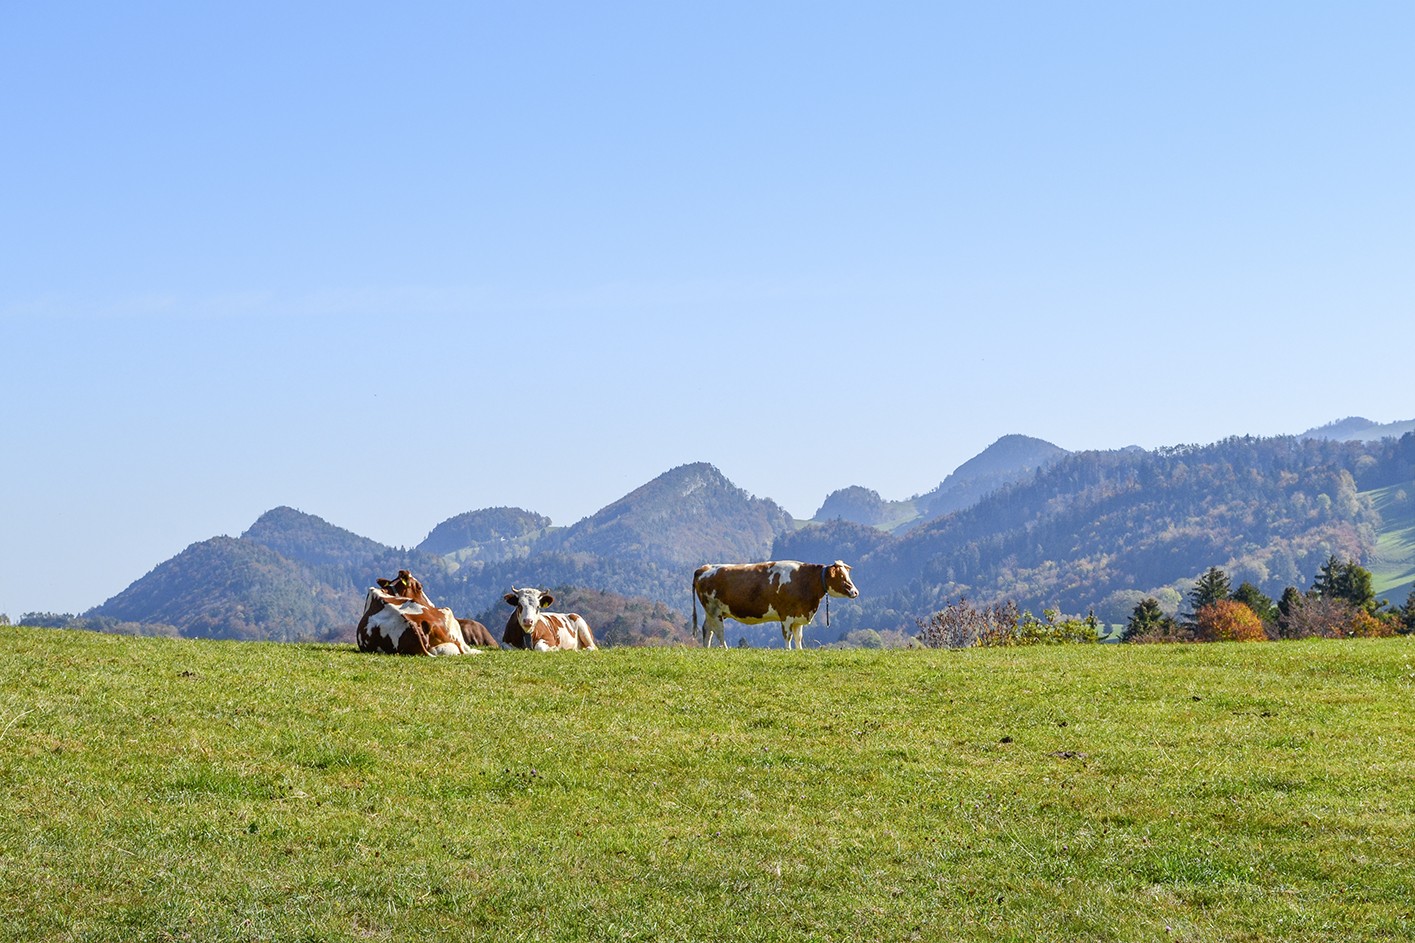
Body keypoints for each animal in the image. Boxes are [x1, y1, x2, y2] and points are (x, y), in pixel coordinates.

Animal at [690, 557, 854, 645]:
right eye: (841, 576)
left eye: (847, 575)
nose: (855, 591)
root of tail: (704, 568)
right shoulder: (786, 615)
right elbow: (787, 636)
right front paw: (788, 651)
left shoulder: (798, 616)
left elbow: (798, 637)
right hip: (714, 610)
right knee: (719, 631)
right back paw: (724, 648)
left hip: (712, 612)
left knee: (707, 629)